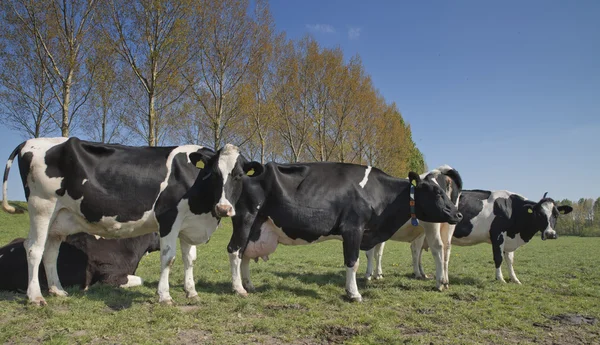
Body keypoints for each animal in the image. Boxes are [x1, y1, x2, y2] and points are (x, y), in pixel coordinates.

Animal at [196, 142, 464, 300]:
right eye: (436, 192)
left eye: (446, 191)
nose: (458, 214)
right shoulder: (353, 228)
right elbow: (353, 262)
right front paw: (354, 294)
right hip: (243, 217)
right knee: (234, 250)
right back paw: (238, 288)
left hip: (257, 225)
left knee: (245, 254)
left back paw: (249, 285)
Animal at [372, 189, 576, 284]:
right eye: (539, 214)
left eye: (556, 214)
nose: (550, 234)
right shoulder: (497, 234)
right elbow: (498, 258)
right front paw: (500, 279)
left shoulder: (509, 239)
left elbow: (510, 260)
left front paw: (515, 279)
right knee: (414, 251)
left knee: (417, 252)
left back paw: (421, 273)